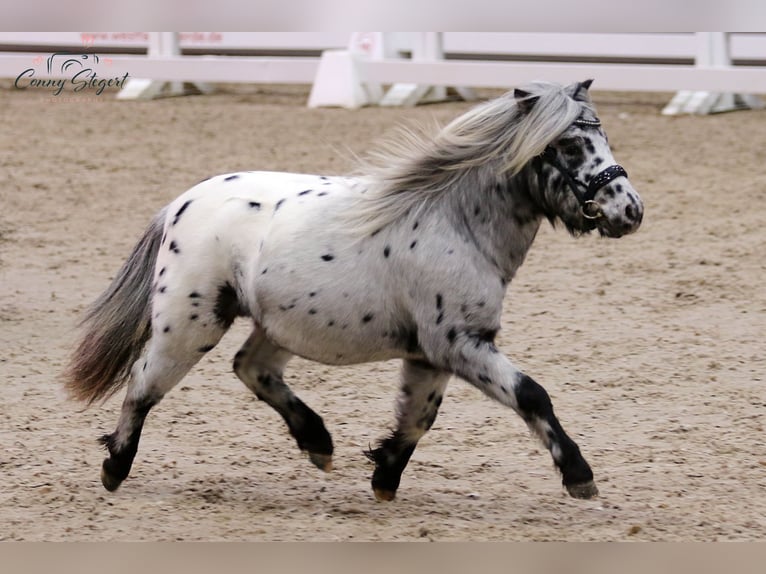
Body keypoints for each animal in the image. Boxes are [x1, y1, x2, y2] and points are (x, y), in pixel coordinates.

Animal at [64, 81, 640, 504]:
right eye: (570, 145)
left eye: (604, 136)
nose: (630, 210)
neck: (455, 223)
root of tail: (181, 203)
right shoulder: (459, 343)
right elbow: (530, 394)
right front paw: (579, 476)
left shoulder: (434, 353)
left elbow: (418, 418)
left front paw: (384, 477)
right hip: (189, 325)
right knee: (144, 385)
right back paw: (115, 466)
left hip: (276, 324)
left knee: (252, 369)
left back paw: (317, 443)